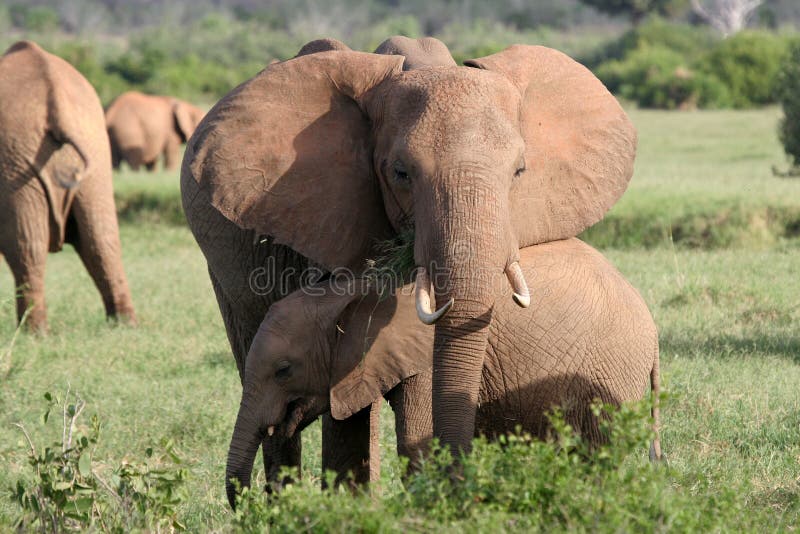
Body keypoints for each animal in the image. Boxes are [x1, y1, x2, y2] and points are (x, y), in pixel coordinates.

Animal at [0, 42, 137, 332]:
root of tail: (55, 102)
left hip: (14, 160)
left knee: (27, 245)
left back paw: (33, 333)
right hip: (93, 148)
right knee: (102, 238)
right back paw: (125, 325)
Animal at [227, 240, 664, 506]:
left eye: (284, 370)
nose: (249, 507)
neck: (351, 293)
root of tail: (652, 325)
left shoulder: (422, 359)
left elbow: (417, 442)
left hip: (612, 372)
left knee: (596, 454)